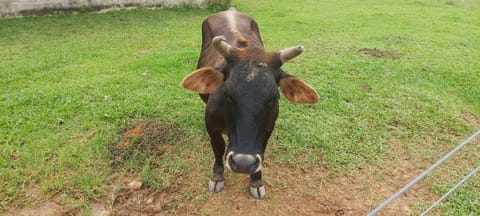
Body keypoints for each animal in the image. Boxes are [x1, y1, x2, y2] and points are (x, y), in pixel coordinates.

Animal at [180, 7, 318, 199]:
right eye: (227, 94)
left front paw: (256, 181)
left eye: (273, 98)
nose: (243, 163)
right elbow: (218, 149)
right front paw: (217, 177)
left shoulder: (267, 129)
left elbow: (261, 151)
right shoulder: (212, 127)